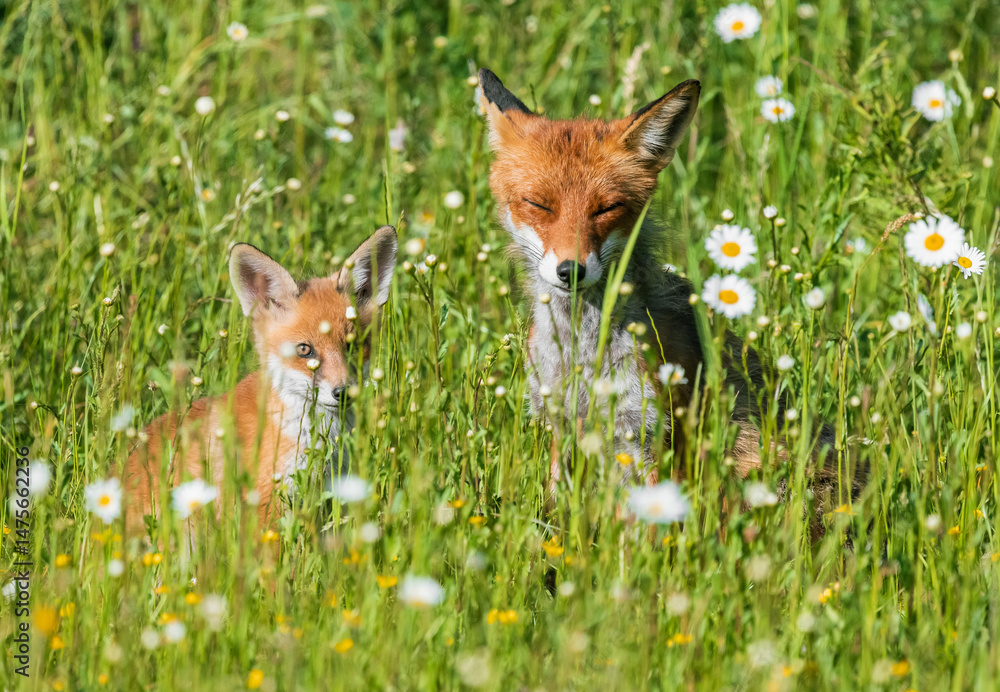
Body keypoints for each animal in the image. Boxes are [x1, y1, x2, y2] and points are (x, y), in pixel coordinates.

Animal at [477, 68, 849, 504]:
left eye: (607, 208)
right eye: (539, 204)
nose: (571, 271)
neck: (580, 352)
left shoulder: (647, 432)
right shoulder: (561, 424)